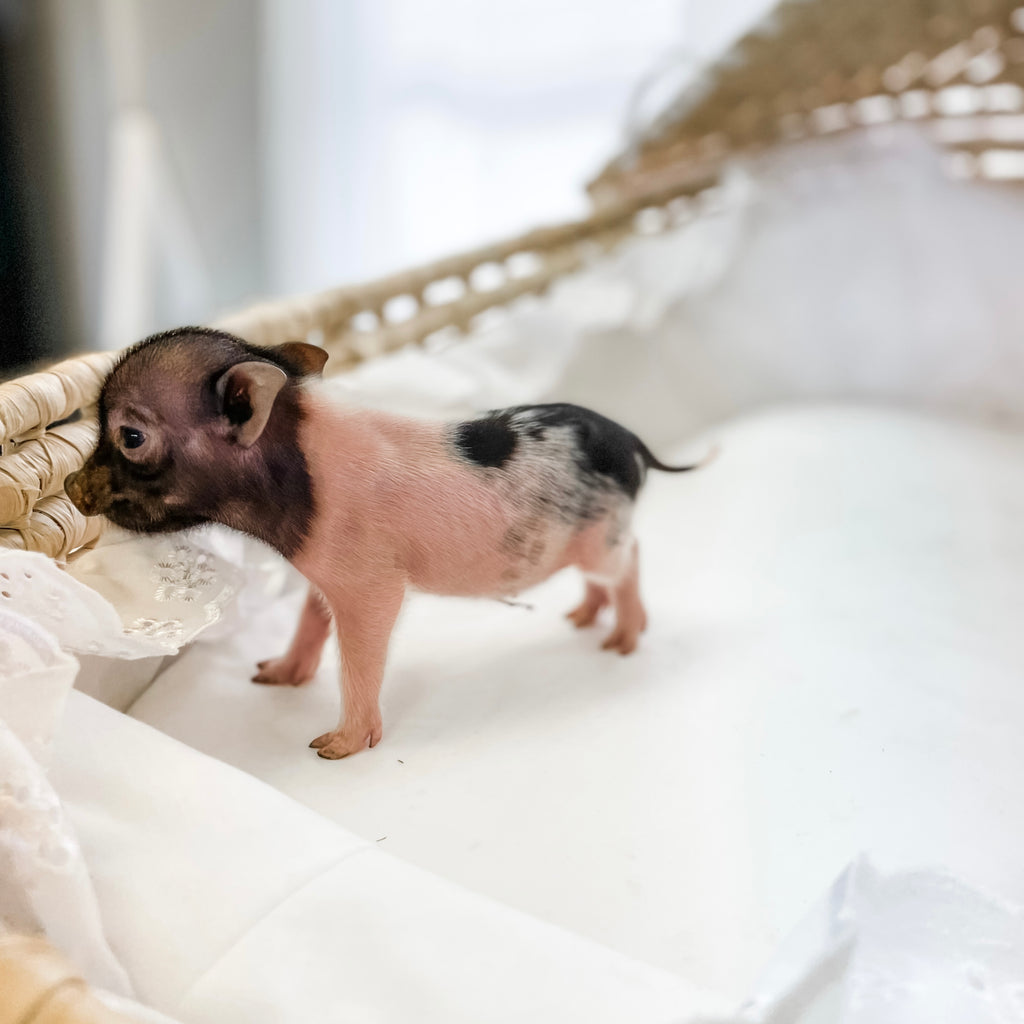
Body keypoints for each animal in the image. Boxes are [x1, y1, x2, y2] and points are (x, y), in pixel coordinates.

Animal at [66, 327, 711, 759]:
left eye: (130, 436)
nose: (71, 485)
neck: (294, 475)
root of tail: (629, 441)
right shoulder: (324, 575)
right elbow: (310, 620)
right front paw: (269, 675)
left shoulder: (369, 583)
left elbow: (359, 658)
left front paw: (331, 748)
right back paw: (580, 619)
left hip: (605, 534)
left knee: (631, 561)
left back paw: (621, 643)